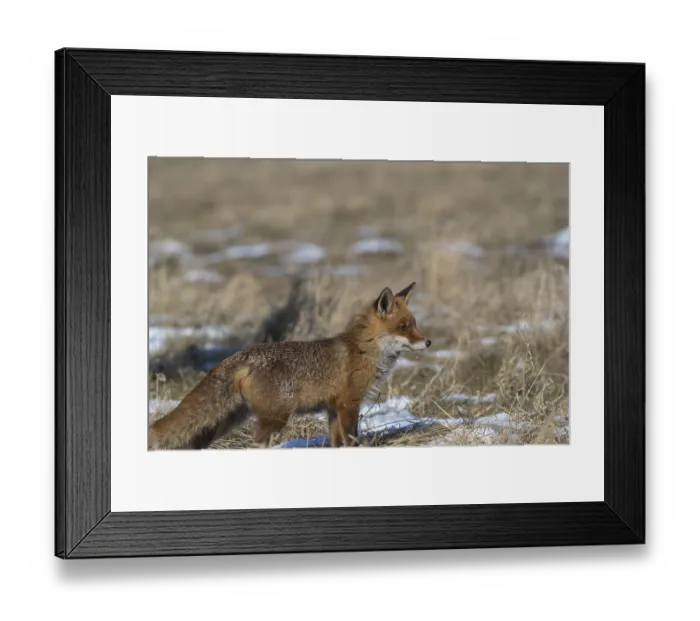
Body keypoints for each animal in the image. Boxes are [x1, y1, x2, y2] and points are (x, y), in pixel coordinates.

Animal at [148, 281, 431, 450]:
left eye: (415, 324)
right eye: (404, 327)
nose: (428, 342)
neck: (365, 350)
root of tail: (241, 354)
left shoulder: (332, 408)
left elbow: (336, 443)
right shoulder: (349, 405)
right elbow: (352, 441)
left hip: (228, 421)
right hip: (277, 417)